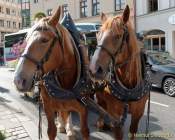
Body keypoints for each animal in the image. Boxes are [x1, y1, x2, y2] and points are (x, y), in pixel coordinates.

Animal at [14, 6, 89, 140]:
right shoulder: (48, 107)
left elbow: (84, 130)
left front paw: (70, 129)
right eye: (26, 40)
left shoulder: (83, 109)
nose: (18, 80)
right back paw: (62, 125)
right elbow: (51, 131)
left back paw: (68, 128)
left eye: (44, 40)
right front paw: (60, 126)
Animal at [90, 4, 149, 139]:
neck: (129, 88)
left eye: (117, 36)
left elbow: (133, 131)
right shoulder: (116, 116)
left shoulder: (138, 114)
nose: (94, 69)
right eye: (98, 35)